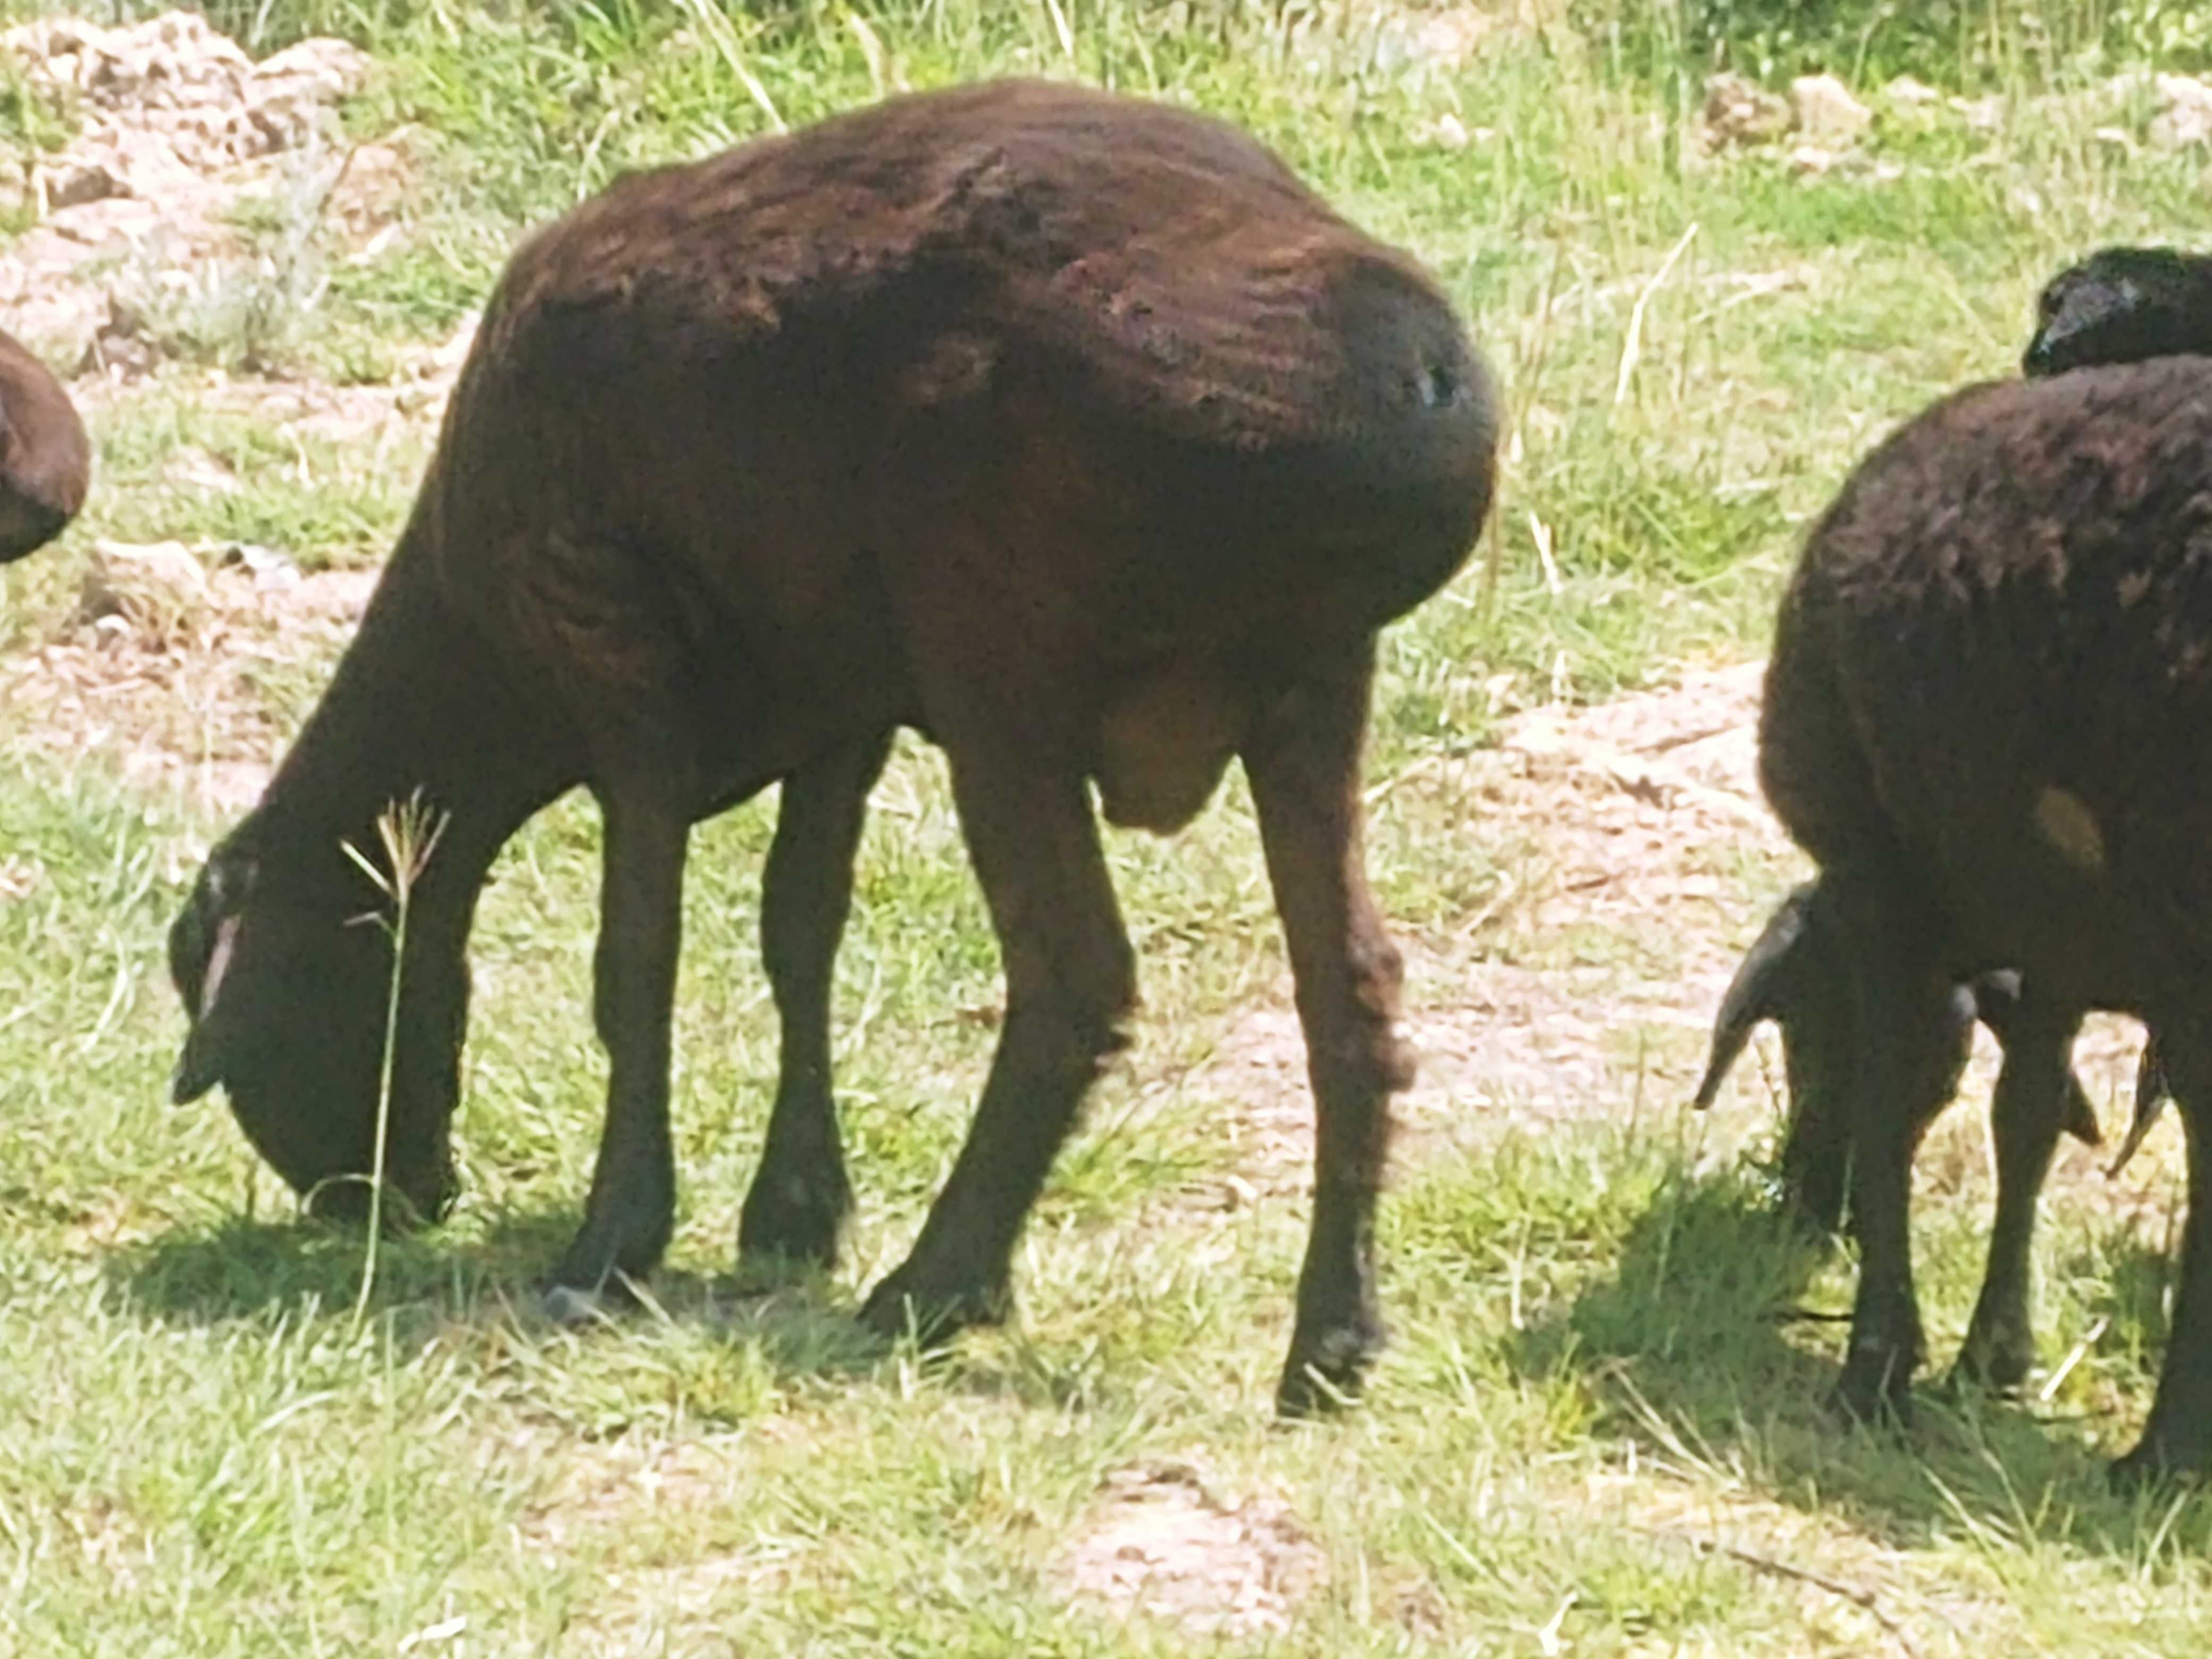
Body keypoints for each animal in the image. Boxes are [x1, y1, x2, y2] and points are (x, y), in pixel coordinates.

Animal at [163, 81, 1495, 1415]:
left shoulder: (615, 649)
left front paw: (615, 1242)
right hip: (1310, 688)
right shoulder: (839, 706)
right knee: (1352, 988)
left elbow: (637, 959)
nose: (390, 1204)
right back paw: (1331, 1341)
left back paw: (938, 1288)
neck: (480, 661)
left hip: (1002, 666)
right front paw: (794, 1209)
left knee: (1075, 979)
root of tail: (1418, 380)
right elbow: (799, 932)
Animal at [1752, 358, 2212, 1486]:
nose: (1802, 1202)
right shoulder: (2055, 940)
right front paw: (1993, 1355)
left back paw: (2164, 1452)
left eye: (1797, 1032)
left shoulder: (1880, 885)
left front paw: (1877, 1367)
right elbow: (2028, 1117)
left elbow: (1894, 1104)